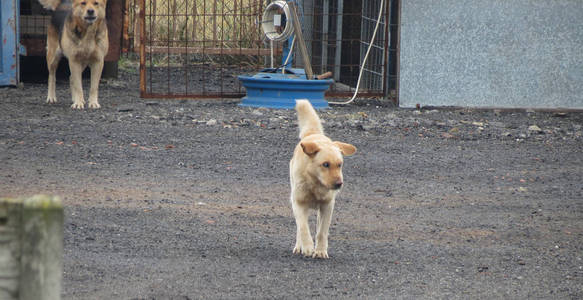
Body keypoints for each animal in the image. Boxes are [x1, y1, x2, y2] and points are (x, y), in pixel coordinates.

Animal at [290, 100, 358, 258]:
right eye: (325, 164)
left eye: (340, 164)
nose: (339, 184)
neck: (316, 184)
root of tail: (313, 135)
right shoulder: (299, 203)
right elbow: (303, 227)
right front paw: (308, 247)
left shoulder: (327, 206)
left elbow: (322, 232)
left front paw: (320, 251)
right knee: (299, 227)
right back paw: (299, 246)